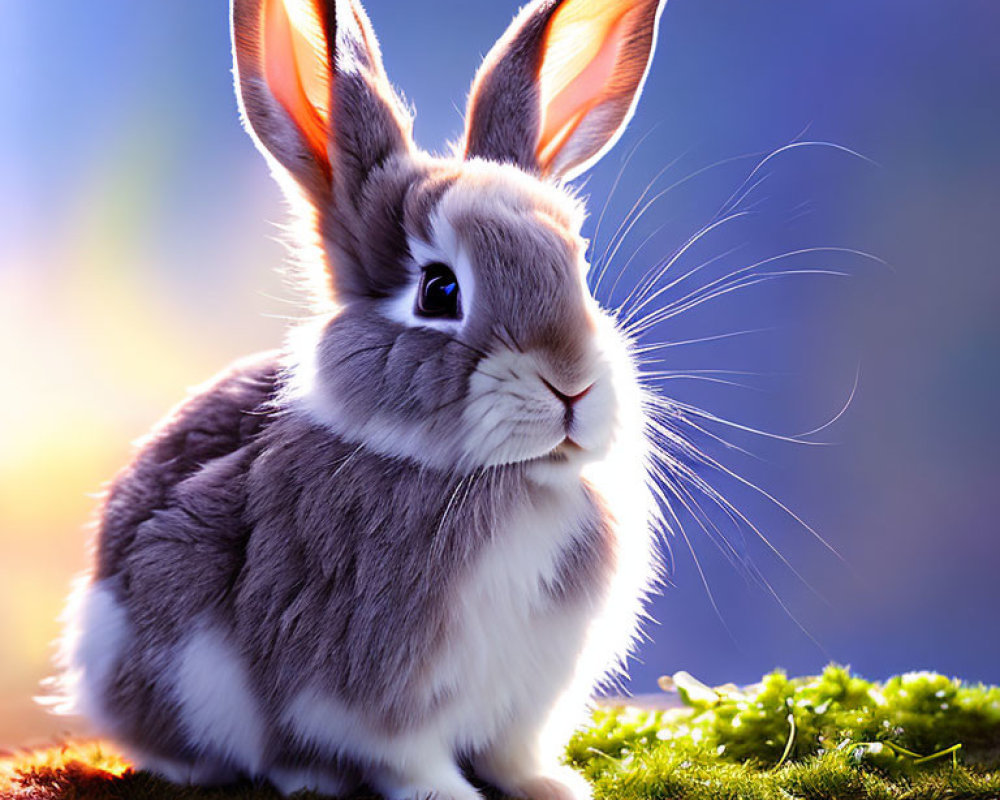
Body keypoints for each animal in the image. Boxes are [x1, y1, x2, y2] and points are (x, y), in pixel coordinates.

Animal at [48, 1, 672, 800]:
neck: (504, 479)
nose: (572, 384)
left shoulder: (530, 700)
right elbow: (407, 758)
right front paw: (450, 795)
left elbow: (515, 752)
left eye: (579, 267)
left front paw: (554, 788)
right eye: (439, 290)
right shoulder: (367, 697)